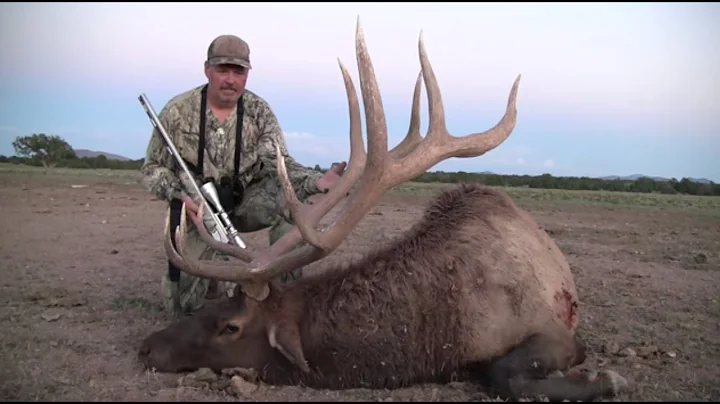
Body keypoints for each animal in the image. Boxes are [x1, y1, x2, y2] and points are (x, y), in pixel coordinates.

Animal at [138, 18, 629, 402]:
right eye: (215, 309)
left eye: (231, 327)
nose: (147, 347)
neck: (441, 336)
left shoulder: (556, 330)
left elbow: (507, 374)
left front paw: (607, 378)